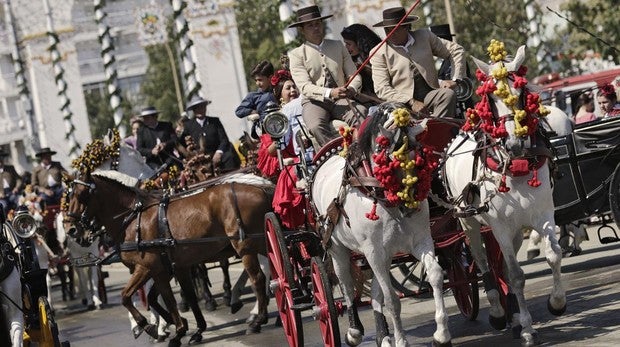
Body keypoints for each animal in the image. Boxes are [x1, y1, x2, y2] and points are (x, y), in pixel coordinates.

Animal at [63, 170, 274, 346]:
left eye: (81, 195)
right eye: (69, 195)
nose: (71, 229)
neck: (134, 218)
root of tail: (261, 188)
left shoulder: (147, 268)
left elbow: (133, 297)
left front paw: (159, 328)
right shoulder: (171, 268)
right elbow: (168, 297)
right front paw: (190, 328)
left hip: (245, 246)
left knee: (258, 278)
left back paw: (257, 319)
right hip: (260, 242)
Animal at [310, 103, 450, 347]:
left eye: (419, 155)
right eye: (395, 158)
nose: (412, 199)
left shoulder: (420, 241)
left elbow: (434, 274)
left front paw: (441, 334)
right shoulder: (374, 251)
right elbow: (392, 300)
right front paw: (402, 341)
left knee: (375, 293)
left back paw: (383, 336)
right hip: (337, 247)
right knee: (346, 286)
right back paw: (354, 331)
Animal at [440, 42, 568, 346]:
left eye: (520, 93)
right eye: (491, 98)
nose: (515, 142)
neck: (516, 166)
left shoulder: (542, 215)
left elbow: (553, 255)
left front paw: (556, 303)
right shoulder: (498, 225)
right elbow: (517, 274)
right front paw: (528, 330)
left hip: (514, 229)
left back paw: (512, 314)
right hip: (469, 222)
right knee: (482, 261)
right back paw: (498, 312)